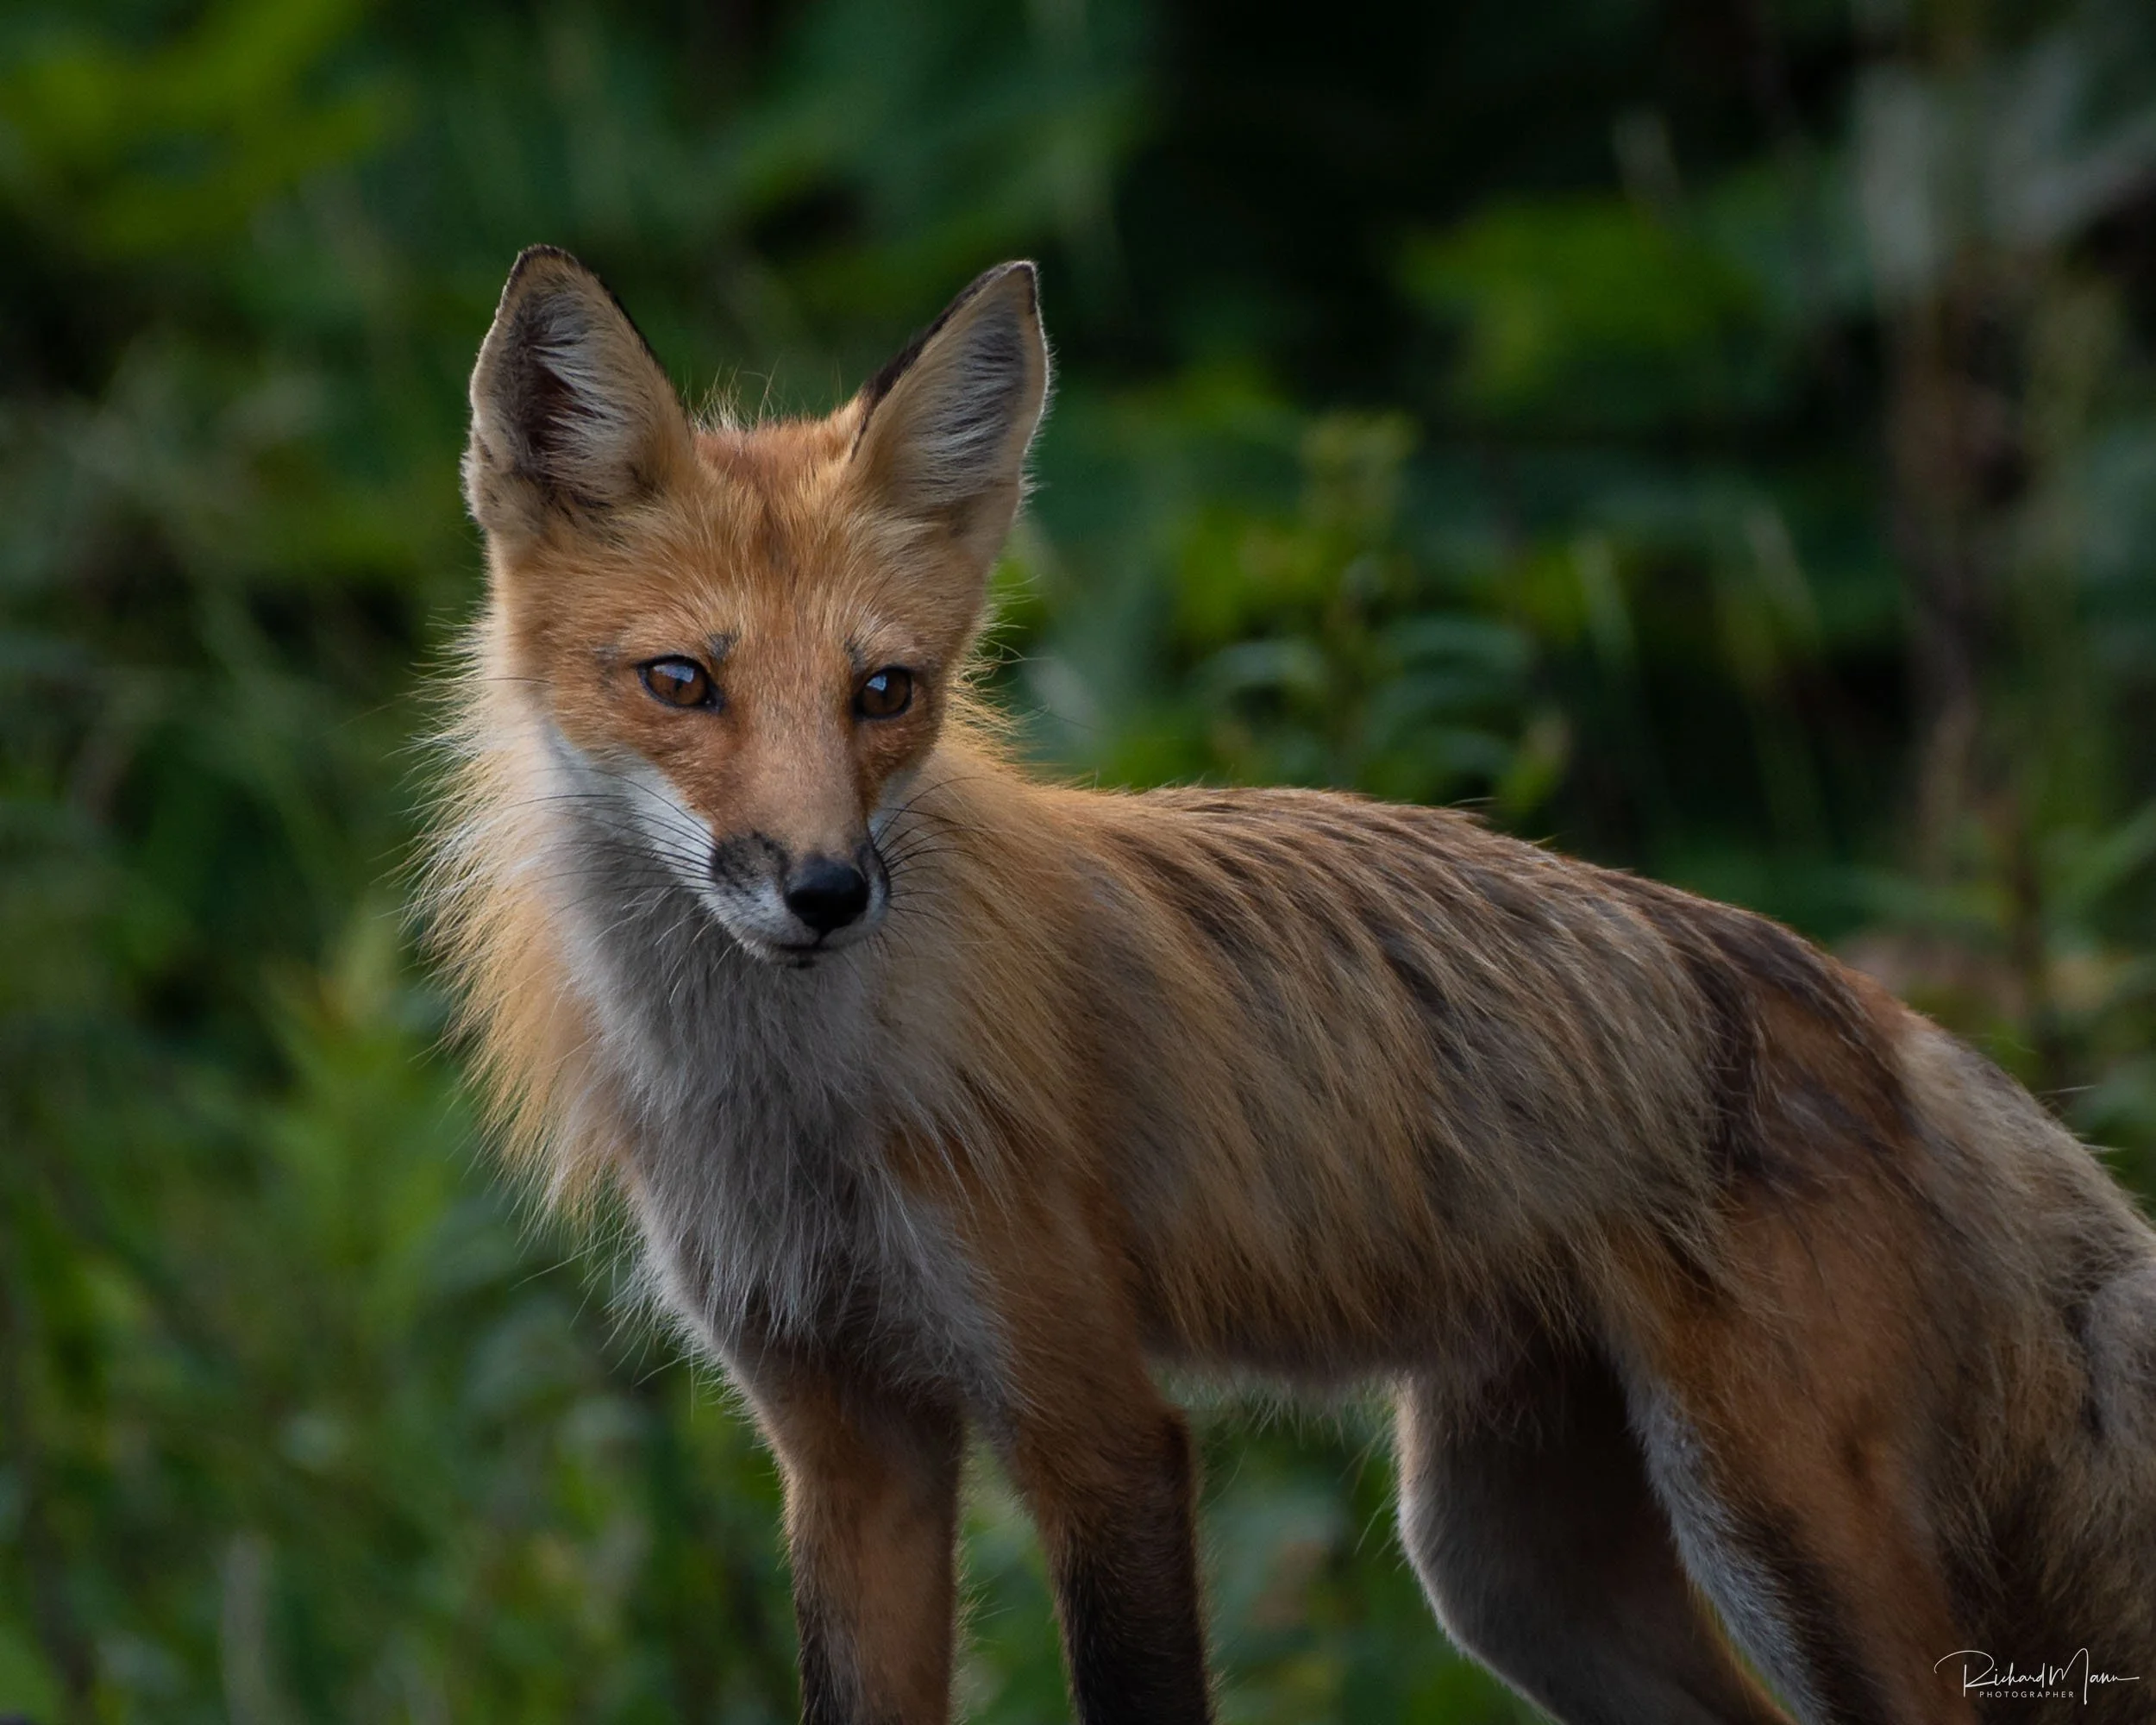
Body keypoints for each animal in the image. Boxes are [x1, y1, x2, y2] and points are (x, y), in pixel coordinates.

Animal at [426, 245, 2156, 1725]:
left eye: (884, 693)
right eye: (680, 683)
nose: (828, 890)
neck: (782, 1112)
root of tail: (1892, 1022)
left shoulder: (1097, 1424)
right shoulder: (848, 1449)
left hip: (1779, 1534)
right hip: (1510, 1571)